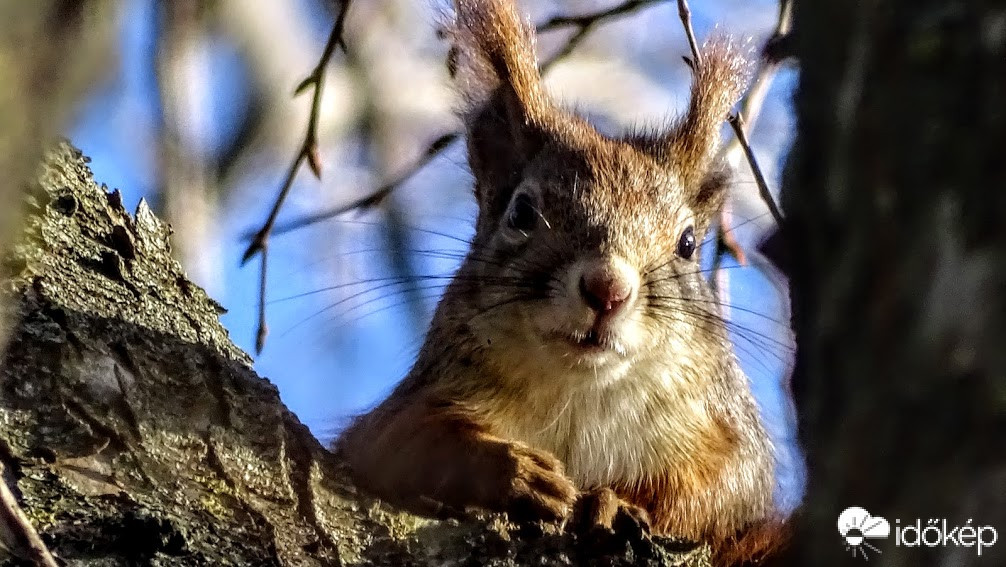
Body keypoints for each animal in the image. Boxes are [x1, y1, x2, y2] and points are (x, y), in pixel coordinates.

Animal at [342, 0, 780, 562]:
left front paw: (615, 501)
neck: (579, 398)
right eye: (521, 212)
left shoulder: (726, 441)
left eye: (687, 243)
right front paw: (513, 471)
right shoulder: (390, 422)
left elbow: (718, 494)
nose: (607, 289)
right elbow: (397, 442)